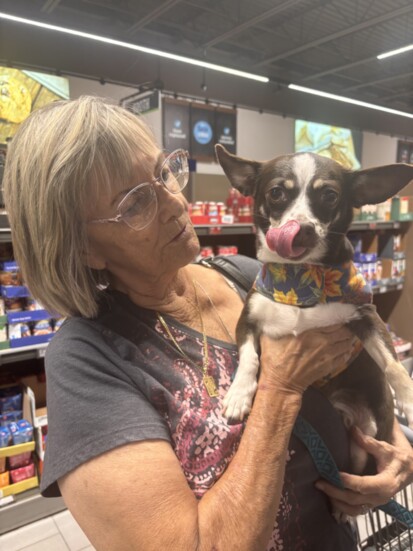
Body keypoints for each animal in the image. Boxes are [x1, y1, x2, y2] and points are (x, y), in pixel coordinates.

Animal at [216, 144, 412, 476]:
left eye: (330, 195)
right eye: (277, 193)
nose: (302, 229)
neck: (299, 278)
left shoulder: (366, 316)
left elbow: (394, 364)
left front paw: (409, 400)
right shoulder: (247, 321)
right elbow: (250, 358)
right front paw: (239, 393)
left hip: (375, 433)